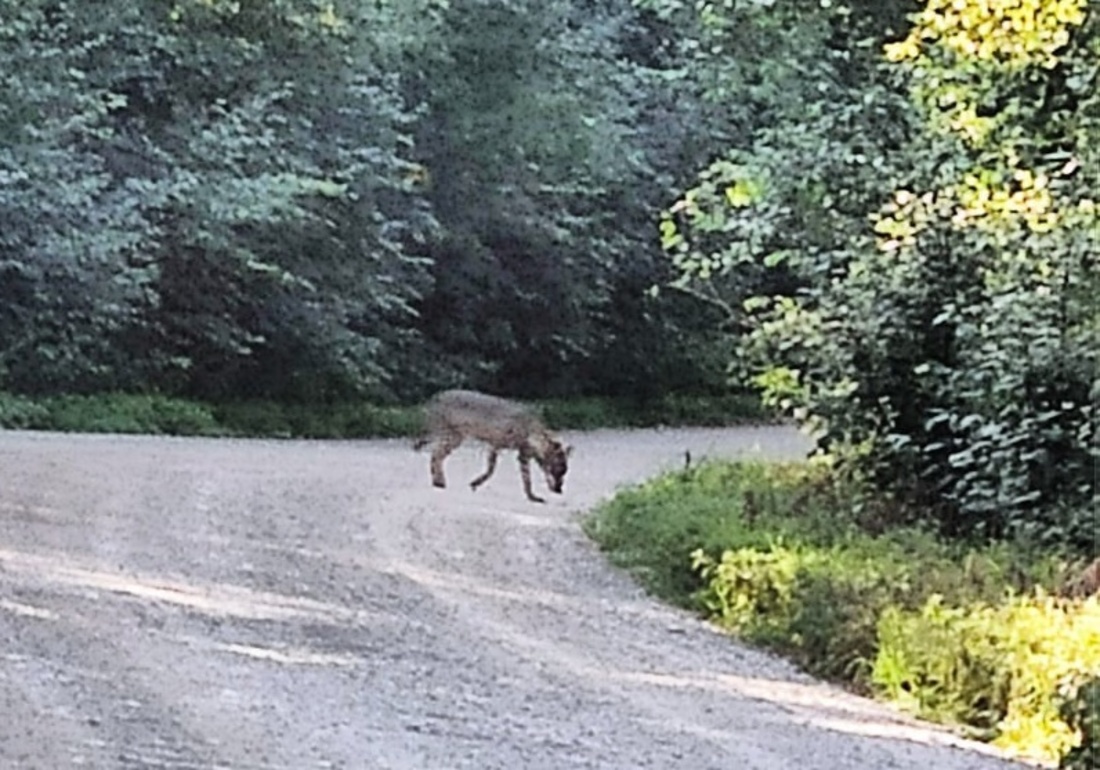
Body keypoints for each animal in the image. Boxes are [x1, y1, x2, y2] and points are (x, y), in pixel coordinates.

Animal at [409, 387, 572, 501]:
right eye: (558, 470)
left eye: (563, 472)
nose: (559, 490)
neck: (533, 432)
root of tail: (436, 396)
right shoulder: (509, 451)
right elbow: (522, 479)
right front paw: (532, 497)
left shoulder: (503, 449)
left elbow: (492, 471)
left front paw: (476, 483)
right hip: (450, 438)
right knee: (435, 455)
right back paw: (439, 481)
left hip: (456, 439)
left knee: (436, 455)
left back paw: (437, 480)